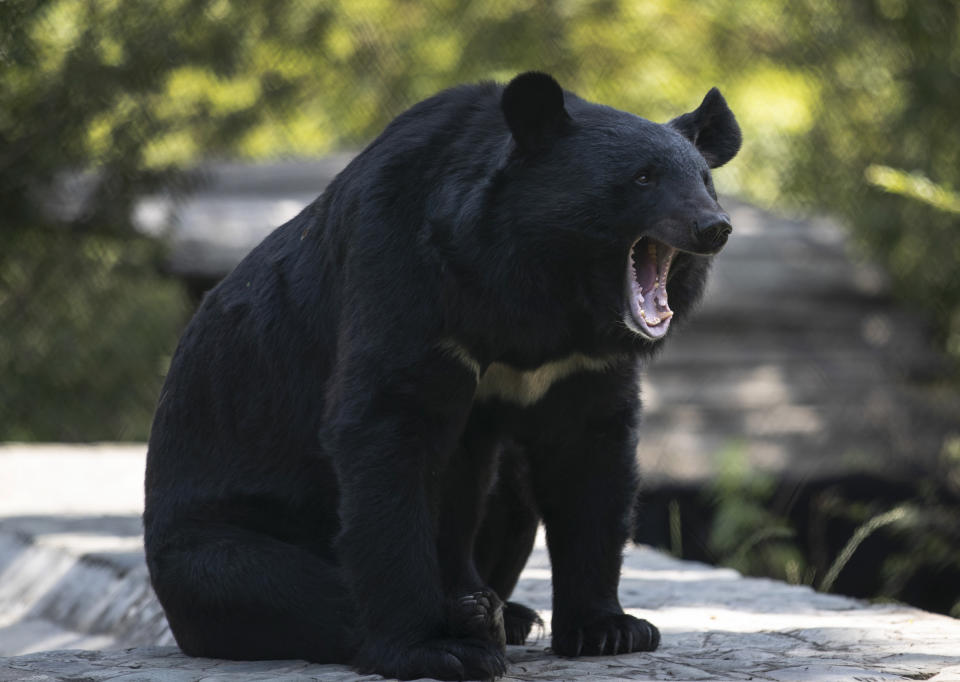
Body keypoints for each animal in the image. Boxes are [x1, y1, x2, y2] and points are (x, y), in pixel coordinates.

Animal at [144, 71, 744, 676]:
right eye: (643, 178)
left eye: (704, 182)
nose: (713, 227)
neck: (543, 289)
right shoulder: (408, 278)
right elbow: (386, 432)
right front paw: (432, 648)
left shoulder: (580, 365)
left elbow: (589, 462)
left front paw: (612, 629)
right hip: (207, 536)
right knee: (267, 584)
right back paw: (472, 619)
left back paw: (505, 612)